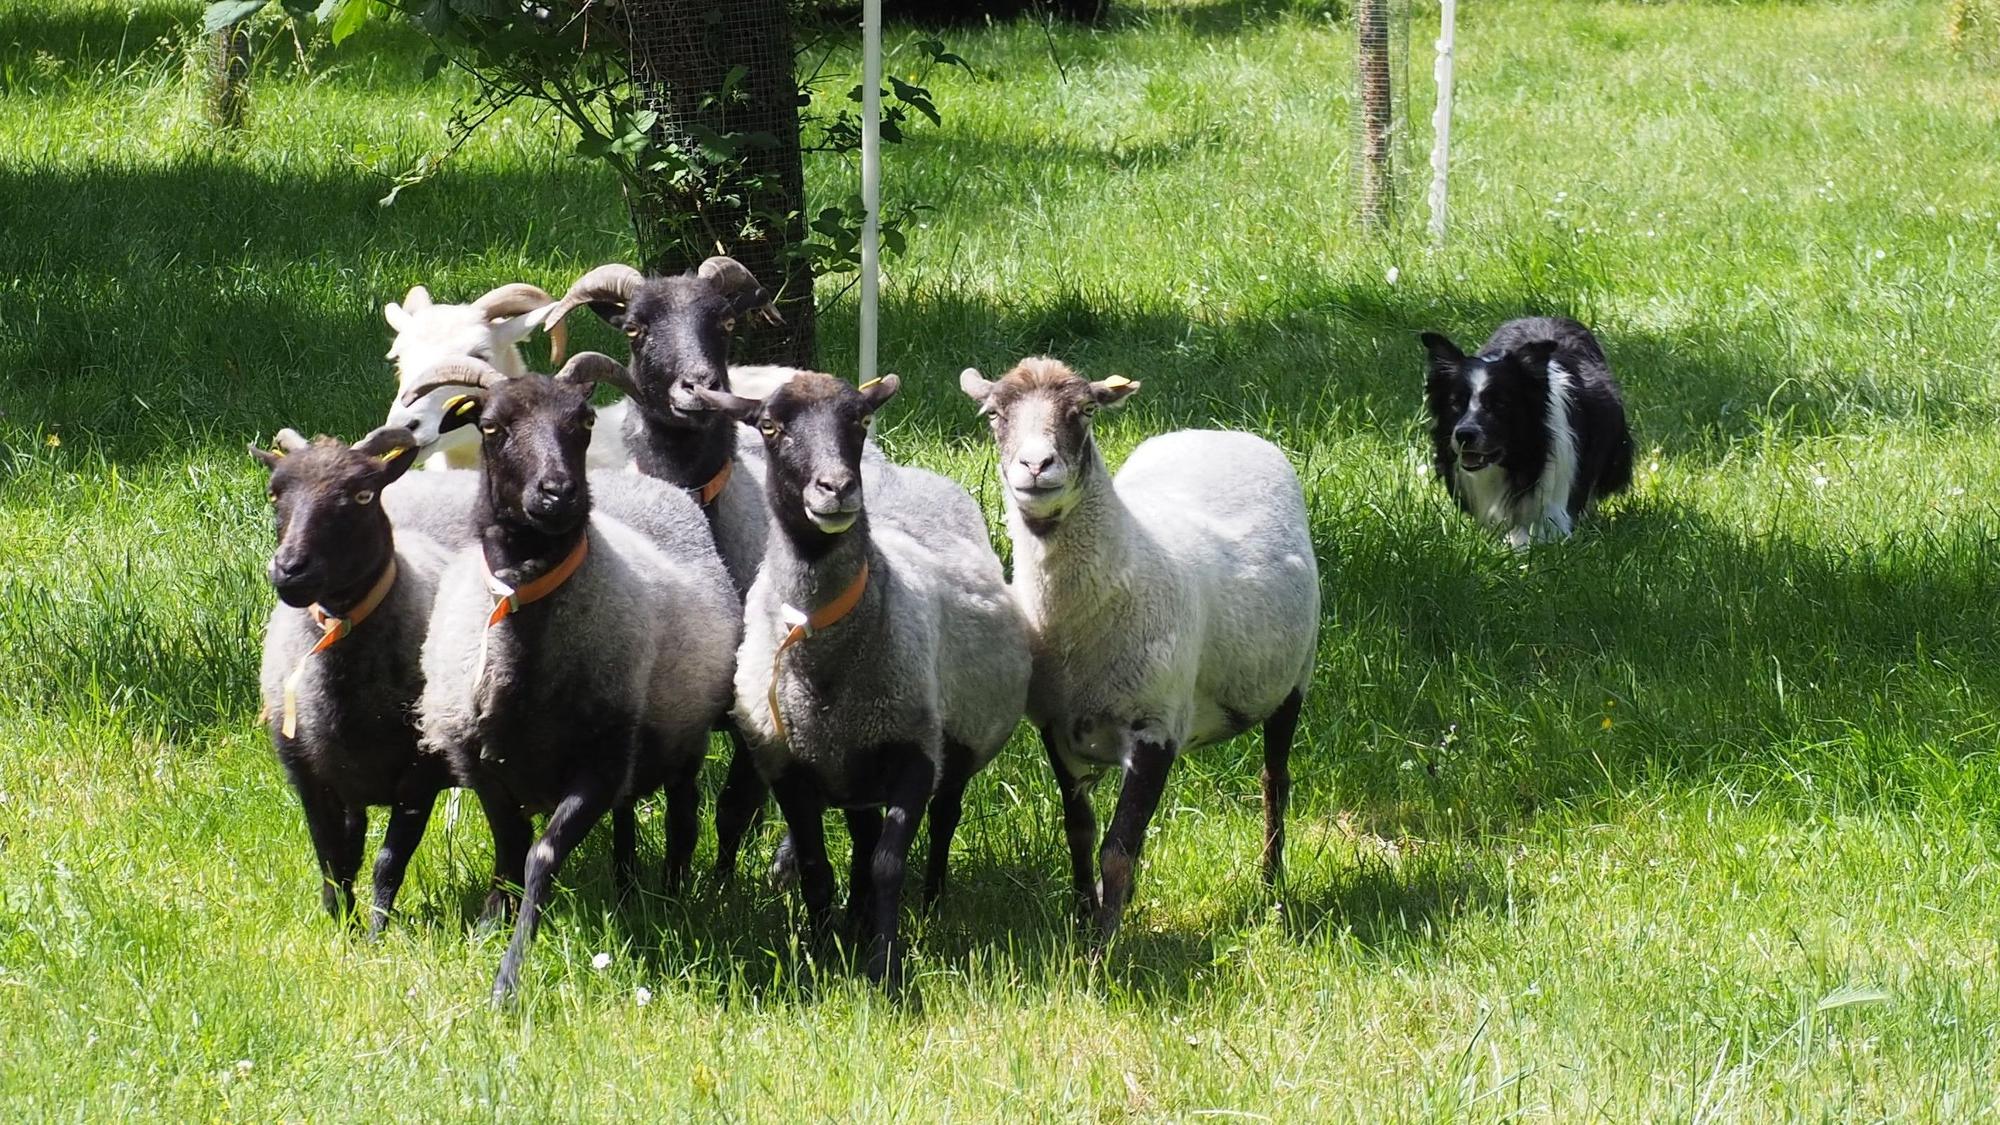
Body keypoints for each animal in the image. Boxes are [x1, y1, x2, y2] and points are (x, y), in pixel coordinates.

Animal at [250, 424, 453, 937]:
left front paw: (379, 932)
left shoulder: (420, 775)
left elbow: (389, 860)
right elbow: (332, 857)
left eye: (363, 494)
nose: (290, 570)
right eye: (274, 493)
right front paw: (342, 925)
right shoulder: (309, 773)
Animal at [409, 353, 741, 1003]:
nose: (558, 493)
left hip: (677, 730)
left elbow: (540, 857)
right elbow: (509, 851)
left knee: (682, 812)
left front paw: (508, 976)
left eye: (583, 420)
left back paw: (670, 894)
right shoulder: (481, 765)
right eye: (491, 427)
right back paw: (628, 888)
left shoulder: (598, 763)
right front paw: (488, 925)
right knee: (627, 816)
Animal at [696, 372, 1031, 993]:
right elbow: (816, 867)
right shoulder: (788, 764)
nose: (837, 488)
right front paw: (823, 953)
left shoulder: (915, 751)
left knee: (942, 821)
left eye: (859, 420)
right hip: (851, 765)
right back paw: (853, 924)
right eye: (769, 425)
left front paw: (885, 967)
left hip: (957, 740)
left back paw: (930, 905)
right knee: (861, 833)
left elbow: (886, 866)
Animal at [958, 357, 1320, 945]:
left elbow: (1117, 851)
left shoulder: (1155, 730)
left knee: (1275, 782)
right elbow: (1081, 832)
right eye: (993, 414)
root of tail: (1219, 432)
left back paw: (1270, 887)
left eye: (1084, 410)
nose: (1036, 465)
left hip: (1294, 677)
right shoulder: (1056, 725)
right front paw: (1085, 916)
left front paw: (1102, 949)